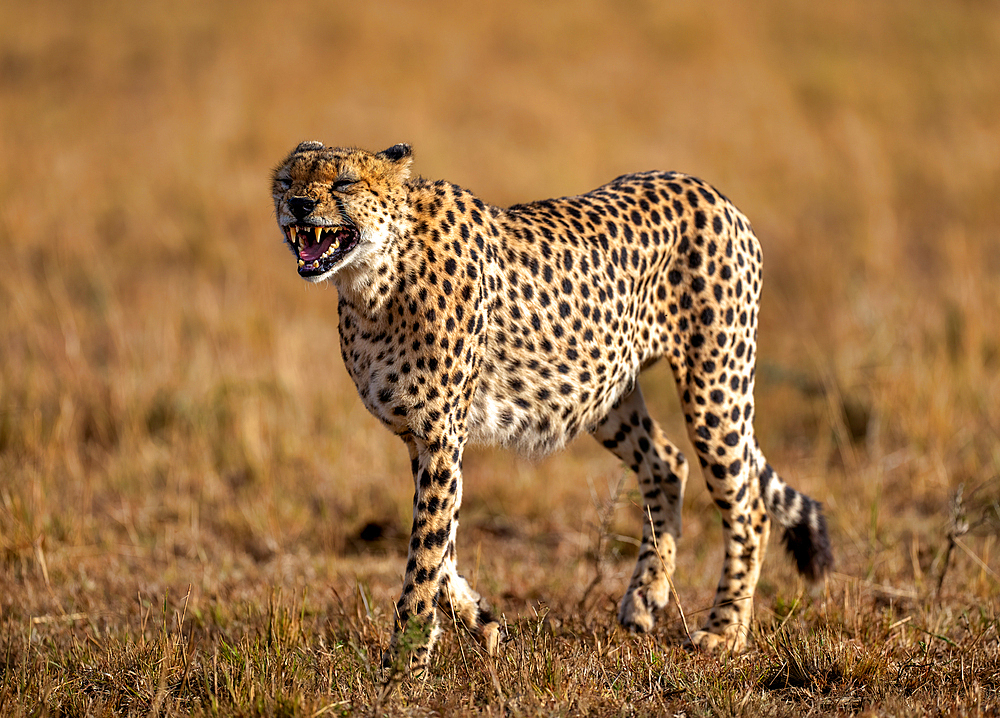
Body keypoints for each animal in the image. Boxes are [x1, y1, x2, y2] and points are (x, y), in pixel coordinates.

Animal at [270, 143, 832, 672]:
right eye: (287, 180)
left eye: (344, 182)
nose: (298, 205)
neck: (375, 278)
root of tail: (705, 189)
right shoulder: (423, 438)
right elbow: (441, 549)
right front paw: (482, 621)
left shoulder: (440, 437)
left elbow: (427, 552)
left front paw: (404, 664)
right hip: (603, 388)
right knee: (667, 464)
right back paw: (645, 596)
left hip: (715, 383)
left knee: (748, 506)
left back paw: (725, 631)